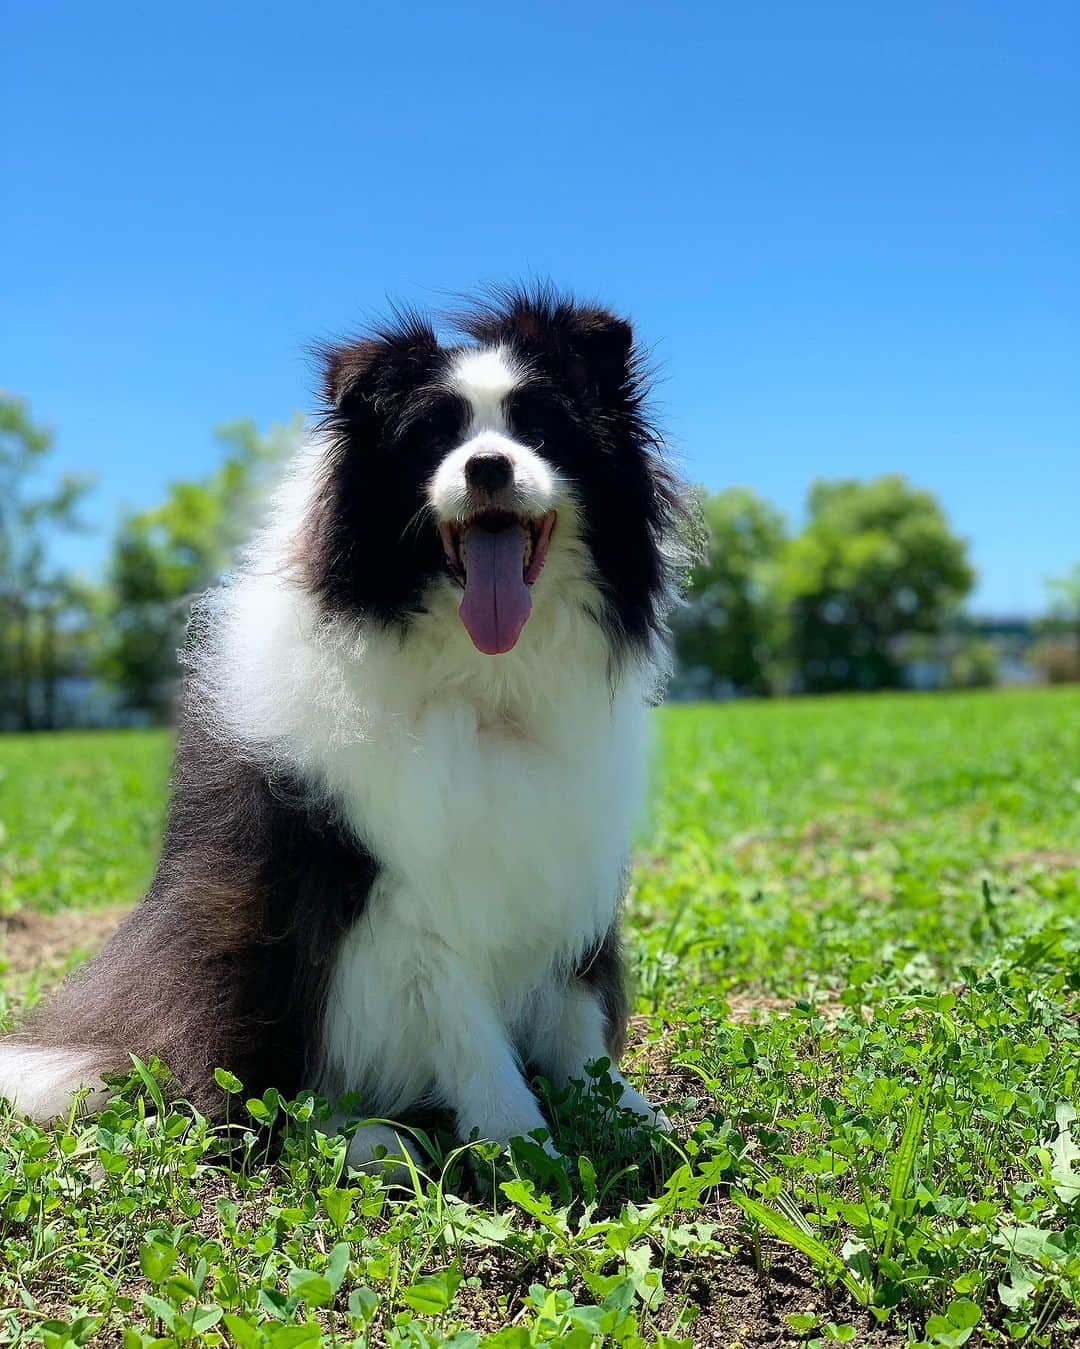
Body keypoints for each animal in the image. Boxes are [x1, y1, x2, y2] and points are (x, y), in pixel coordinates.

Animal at [0, 287, 687, 1170]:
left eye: (541, 429)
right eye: (434, 435)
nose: (488, 466)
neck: (487, 679)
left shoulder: (565, 846)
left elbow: (575, 1011)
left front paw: (626, 1116)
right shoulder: (409, 881)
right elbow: (466, 1021)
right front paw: (519, 1143)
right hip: (246, 942)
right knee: (250, 1091)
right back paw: (369, 1140)